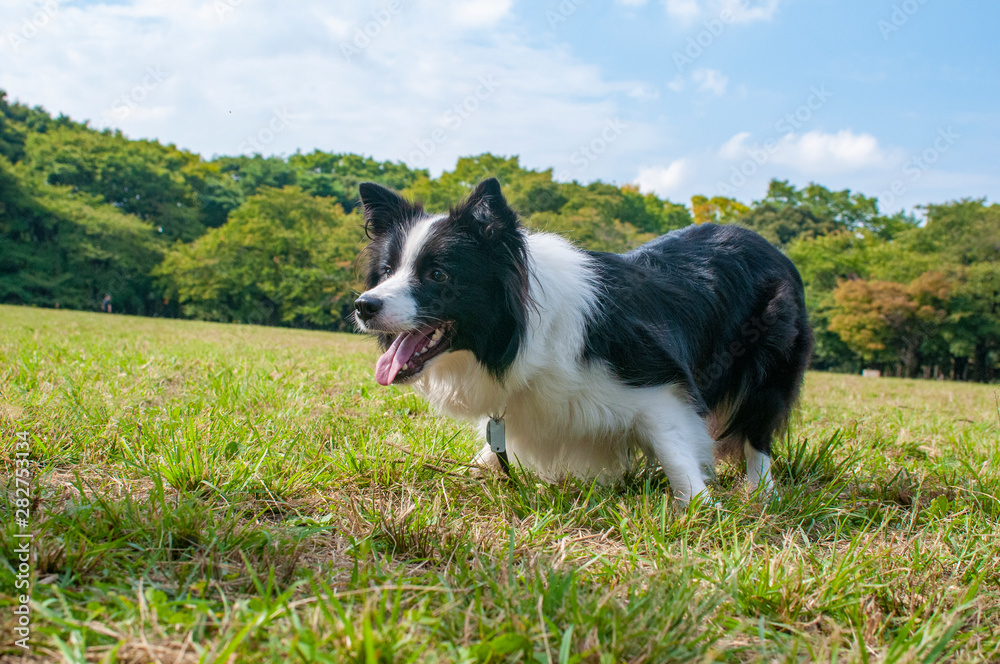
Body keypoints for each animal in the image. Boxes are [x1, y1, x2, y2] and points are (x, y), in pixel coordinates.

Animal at [352, 179, 812, 500]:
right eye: (388, 270)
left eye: (438, 274)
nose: (363, 305)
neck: (519, 332)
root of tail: (771, 246)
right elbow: (487, 455)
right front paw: (463, 474)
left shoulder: (660, 382)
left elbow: (674, 447)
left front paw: (700, 507)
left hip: (771, 364)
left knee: (758, 433)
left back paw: (760, 492)